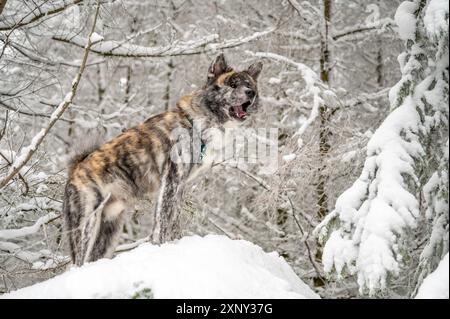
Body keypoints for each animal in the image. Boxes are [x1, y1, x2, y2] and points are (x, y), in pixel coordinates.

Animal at [61, 53, 262, 266]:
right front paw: (161, 246)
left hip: (109, 229)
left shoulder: (180, 185)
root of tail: (76, 169)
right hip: (87, 223)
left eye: (249, 84)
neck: (198, 123)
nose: (250, 93)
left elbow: (174, 219)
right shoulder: (171, 179)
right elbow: (163, 221)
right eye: (232, 84)